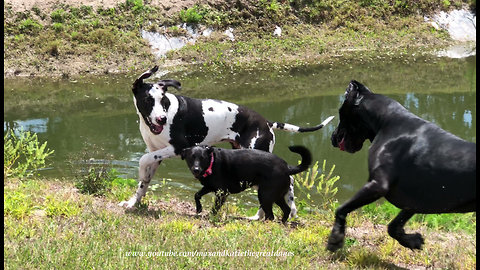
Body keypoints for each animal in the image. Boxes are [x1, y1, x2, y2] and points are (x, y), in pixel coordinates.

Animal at [180, 144, 312, 223]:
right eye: (191, 157)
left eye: (202, 158)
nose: (196, 169)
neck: (212, 162)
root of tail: (287, 167)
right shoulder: (209, 187)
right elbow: (197, 195)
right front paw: (199, 208)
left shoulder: (222, 193)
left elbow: (215, 208)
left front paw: (211, 216)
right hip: (276, 196)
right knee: (286, 210)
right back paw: (282, 222)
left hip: (265, 196)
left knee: (270, 215)